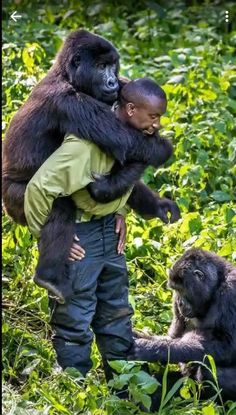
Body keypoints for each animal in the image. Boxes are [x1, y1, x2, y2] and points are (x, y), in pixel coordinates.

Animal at [129, 250, 236, 404]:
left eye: (181, 289)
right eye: (175, 290)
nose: (179, 303)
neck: (216, 285)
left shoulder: (231, 290)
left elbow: (227, 346)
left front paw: (149, 349)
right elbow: (174, 337)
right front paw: (142, 338)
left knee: (209, 371)